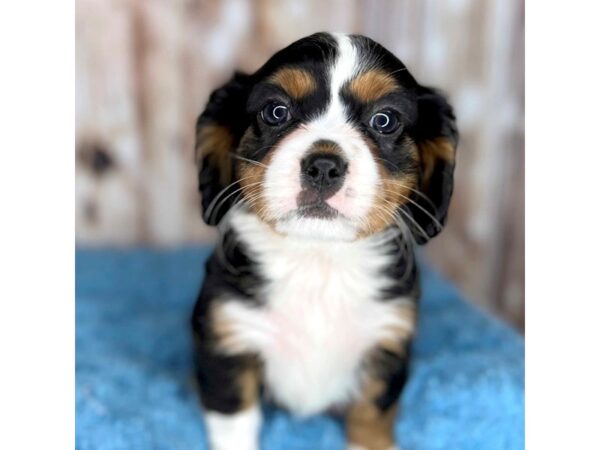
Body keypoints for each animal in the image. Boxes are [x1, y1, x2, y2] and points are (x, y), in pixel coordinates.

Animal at [192, 32, 460, 450]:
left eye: (384, 120)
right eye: (276, 111)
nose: (323, 166)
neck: (318, 261)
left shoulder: (386, 341)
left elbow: (372, 412)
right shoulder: (228, 337)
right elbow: (234, 419)